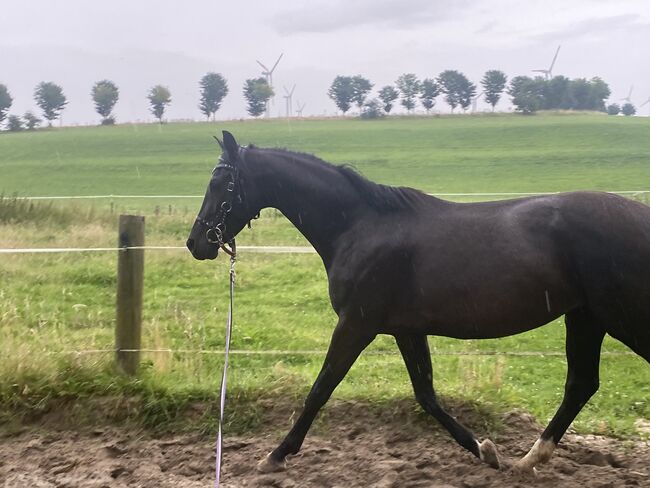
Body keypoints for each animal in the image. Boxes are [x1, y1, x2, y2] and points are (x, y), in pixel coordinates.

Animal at [186, 132, 648, 474]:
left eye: (218, 183)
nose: (195, 242)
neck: (359, 227)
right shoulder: (406, 330)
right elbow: (426, 395)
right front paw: (485, 450)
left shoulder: (356, 324)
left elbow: (320, 389)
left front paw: (275, 456)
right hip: (586, 317)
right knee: (581, 384)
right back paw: (528, 460)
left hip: (620, 317)